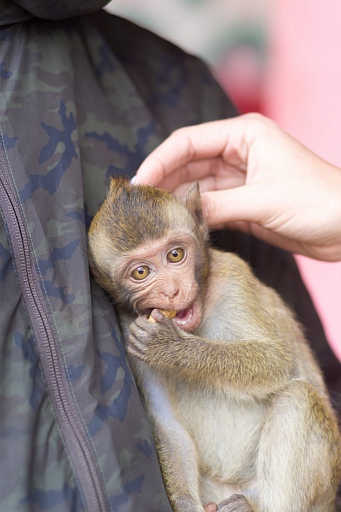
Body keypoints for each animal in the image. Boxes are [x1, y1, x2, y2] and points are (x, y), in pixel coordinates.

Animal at [88, 177, 340, 512]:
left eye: (175, 255)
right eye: (140, 272)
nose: (172, 291)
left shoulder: (233, 277)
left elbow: (276, 361)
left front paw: (173, 348)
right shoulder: (128, 325)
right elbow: (166, 421)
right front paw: (186, 505)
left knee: (297, 397)